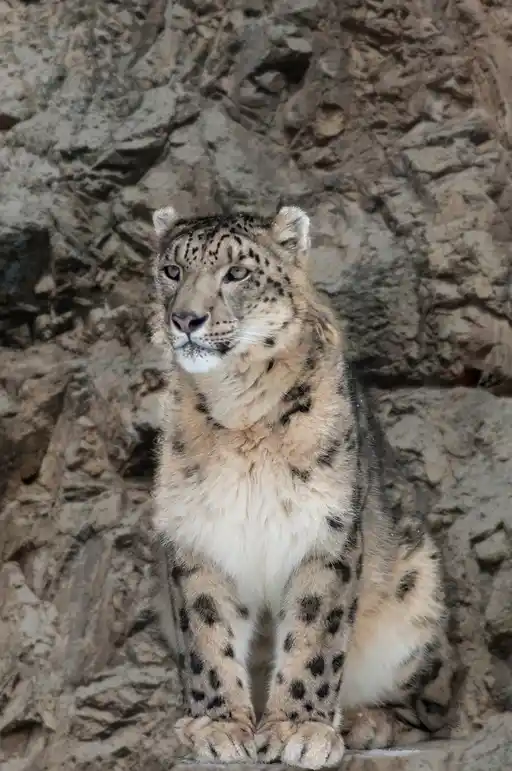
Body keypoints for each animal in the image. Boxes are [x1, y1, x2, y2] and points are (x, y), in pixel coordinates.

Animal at [149, 204, 459, 769]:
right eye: (172, 270)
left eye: (237, 273)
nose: (186, 319)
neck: (239, 411)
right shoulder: (198, 533)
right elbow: (208, 635)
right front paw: (218, 728)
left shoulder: (325, 532)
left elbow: (315, 635)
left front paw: (299, 730)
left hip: (417, 609)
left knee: (434, 705)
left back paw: (363, 723)